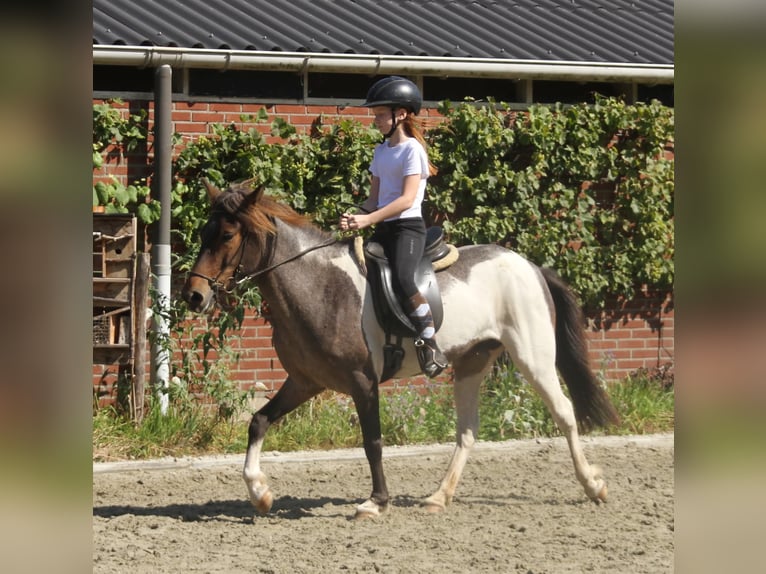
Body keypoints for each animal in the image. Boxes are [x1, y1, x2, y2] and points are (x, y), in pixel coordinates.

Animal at [182, 179, 620, 519]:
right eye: (203, 233)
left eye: (227, 236)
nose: (194, 296)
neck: (319, 285)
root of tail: (530, 266)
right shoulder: (306, 381)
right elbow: (258, 421)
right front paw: (260, 493)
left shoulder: (362, 381)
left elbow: (373, 442)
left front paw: (376, 502)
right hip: (471, 363)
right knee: (467, 431)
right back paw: (439, 497)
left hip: (534, 358)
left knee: (564, 414)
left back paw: (594, 486)